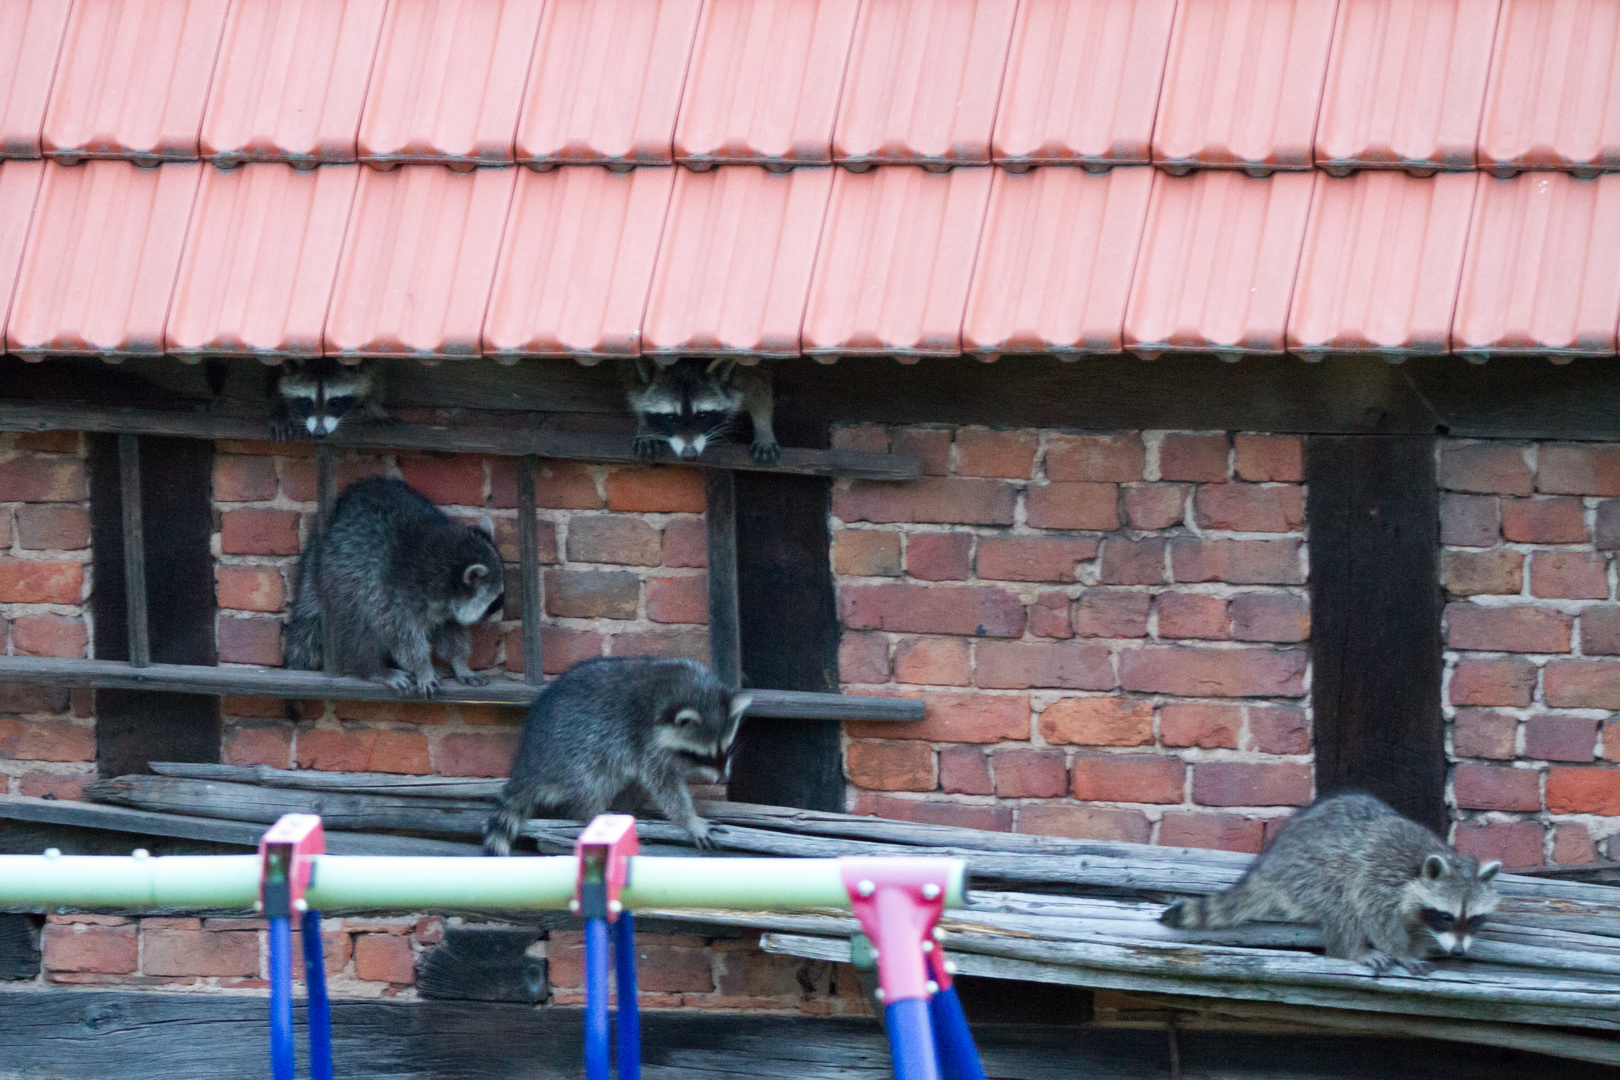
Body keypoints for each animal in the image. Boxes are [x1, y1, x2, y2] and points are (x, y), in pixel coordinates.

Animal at [281, 476, 502, 696]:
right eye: (496, 601)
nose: (497, 617)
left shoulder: (448, 610)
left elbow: (452, 633)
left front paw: (460, 663)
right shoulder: (394, 593)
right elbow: (403, 636)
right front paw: (422, 667)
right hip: (341, 580)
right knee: (362, 626)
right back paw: (373, 669)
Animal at [476, 654, 748, 854]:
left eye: (726, 749)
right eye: (701, 756)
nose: (723, 779)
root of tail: (529, 763)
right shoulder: (644, 742)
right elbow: (665, 786)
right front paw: (690, 819)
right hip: (575, 755)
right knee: (595, 782)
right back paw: (592, 812)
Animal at [622, 359, 780, 466]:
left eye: (703, 416)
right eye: (670, 417)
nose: (689, 455)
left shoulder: (749, 366)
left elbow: (759, 387)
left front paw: (763, 427)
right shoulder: (629, 368)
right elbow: (634, 389)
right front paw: (645, 426)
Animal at [1159, 790, 1496, 977]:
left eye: (1474, 920)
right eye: (1446, 916)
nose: (1458, 953)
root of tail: (1272, 862)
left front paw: (1420, 946)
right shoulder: (1379, 871)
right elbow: (1372, 911)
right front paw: (1402, 950)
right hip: (1308, 872)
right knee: (1342, 898)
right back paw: (1351, 949)